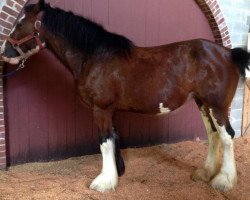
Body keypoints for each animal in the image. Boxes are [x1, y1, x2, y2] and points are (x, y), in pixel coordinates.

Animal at [0, 0, 250, 194]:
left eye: (20, 23)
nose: (4, 52)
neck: (94, 56)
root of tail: (229, 53)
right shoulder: (110, 110)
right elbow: (113, 139)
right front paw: (116, 173)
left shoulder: (101, 109)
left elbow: (104, 143)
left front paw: (103, 182)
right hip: (202, 103)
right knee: (213, 135)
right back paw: (204, 173)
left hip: (217, 106)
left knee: (227, 136)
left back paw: (223, 181)